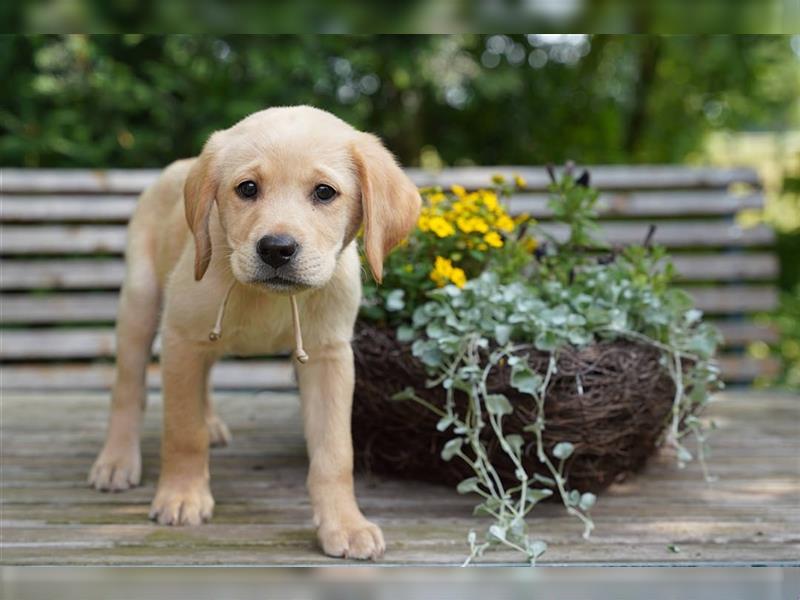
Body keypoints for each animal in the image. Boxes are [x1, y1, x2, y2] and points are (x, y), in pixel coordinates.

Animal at [89, 105, 418, 560]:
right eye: (247, 189)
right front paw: (182, 496)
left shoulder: (329, 356)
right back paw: (117, 460)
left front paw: (345, 524)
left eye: (324, 193)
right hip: (139, 303)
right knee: (128, 388)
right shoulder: (181, 336)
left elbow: (334, 453)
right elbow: (183, 430)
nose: (276, 248)